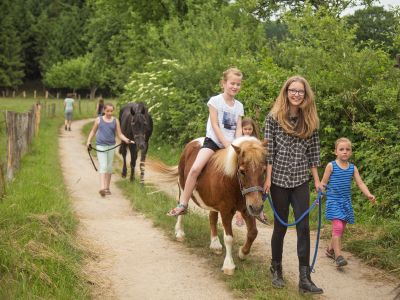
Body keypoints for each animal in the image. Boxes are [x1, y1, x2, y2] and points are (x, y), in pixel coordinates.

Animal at [148, 136, 268, 274]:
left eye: (264, 170)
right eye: (242, 171)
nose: (257, 207)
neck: (232, 181)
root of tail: (192, 143)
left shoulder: (246, 209)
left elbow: (253, 232)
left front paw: (242, 253)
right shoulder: (226, 211)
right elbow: (229, 238)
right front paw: (228, 265)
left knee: (212, 218)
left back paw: (215, 244)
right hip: (183, 187)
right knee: (182, 207)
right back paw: (179, 233)